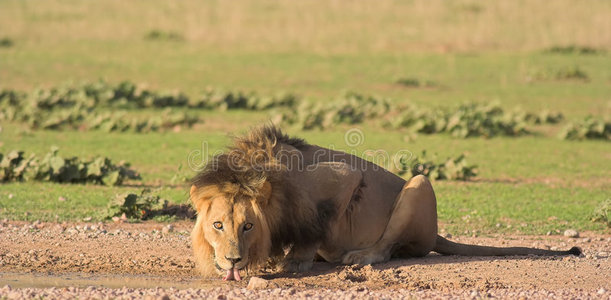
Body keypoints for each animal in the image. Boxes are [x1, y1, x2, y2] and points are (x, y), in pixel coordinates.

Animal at [189, 125, 580, 282]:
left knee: (387, 248)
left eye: (248, 225)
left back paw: (358, 257)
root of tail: (436, 234)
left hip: (419, 185)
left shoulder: (342, 177)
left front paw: (295, 261)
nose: (233, 259)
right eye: (218, 225)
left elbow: (316, 228)